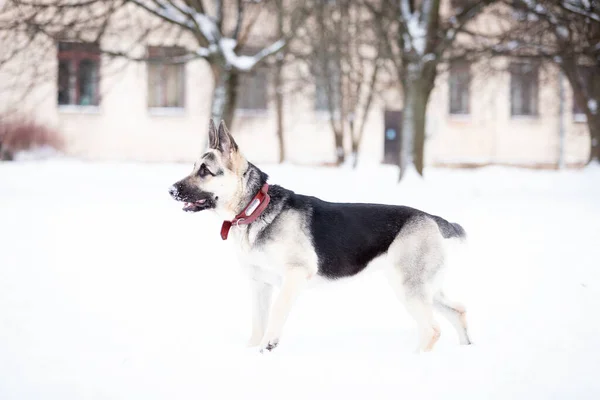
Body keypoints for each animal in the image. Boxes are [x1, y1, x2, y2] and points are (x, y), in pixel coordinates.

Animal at [166, 119, 472, 354]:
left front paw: (268, 347)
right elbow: (257, 323)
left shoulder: (294, 275)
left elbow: (276, 313)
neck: (255, 206)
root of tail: (430, 217)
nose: (170, 190)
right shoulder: (259, 284)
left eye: (205, 171)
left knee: (432, 329)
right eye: (194, 168)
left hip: (408, 288)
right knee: (458, 311)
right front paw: (253, 351)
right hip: (424, 289)